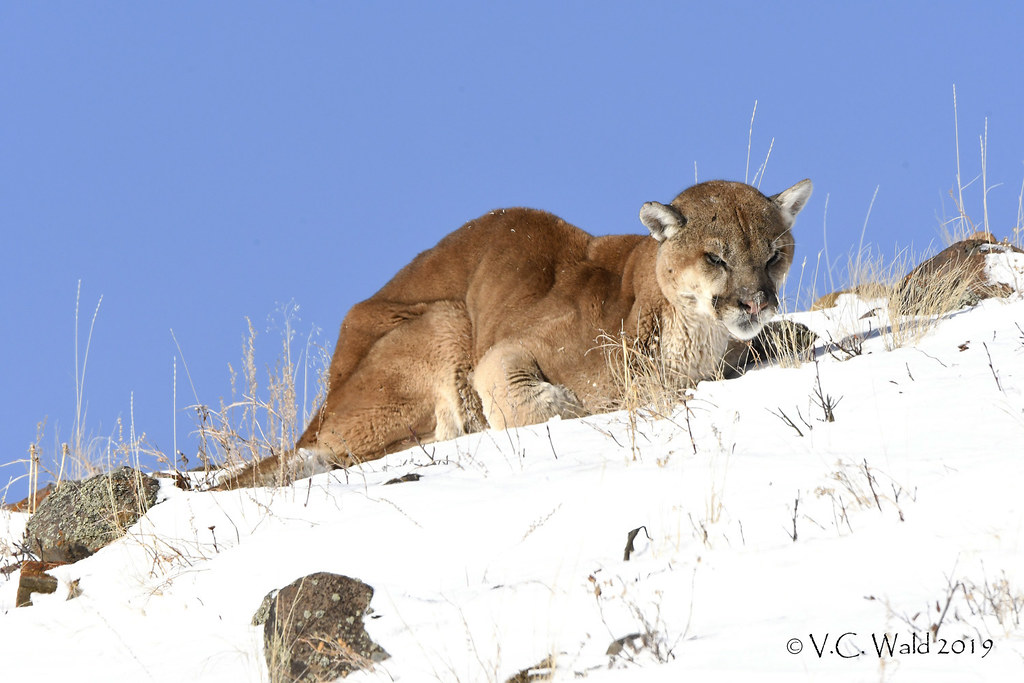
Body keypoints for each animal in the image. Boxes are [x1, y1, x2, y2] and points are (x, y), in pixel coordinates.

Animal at [219, 178, 812, 487]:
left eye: (774, 255)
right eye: (715, 257)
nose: (756, 301)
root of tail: (323, 404)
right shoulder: (505, 352)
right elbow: (538, 401)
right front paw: (582, 404)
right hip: (446, 319)